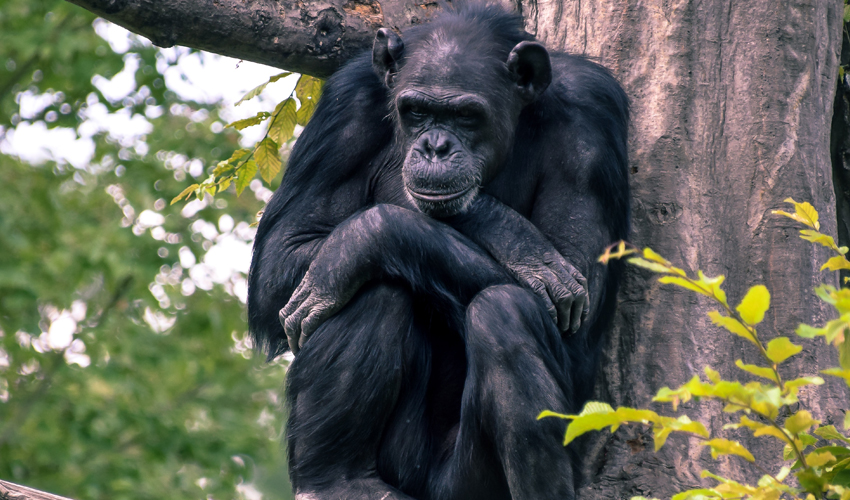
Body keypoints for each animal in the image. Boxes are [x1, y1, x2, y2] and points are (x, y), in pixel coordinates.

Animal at [243, 4, 624, 500]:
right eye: (418, 111)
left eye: (466, 115)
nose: (435, 147)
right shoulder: (346, 106)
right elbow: (280, 256)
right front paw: (508, 233)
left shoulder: (590, 120)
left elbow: (578, 305)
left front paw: (371, 233)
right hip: (402, 465)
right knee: (367, 288)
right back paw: (335, 481)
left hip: (469, 484)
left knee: (503, 313)